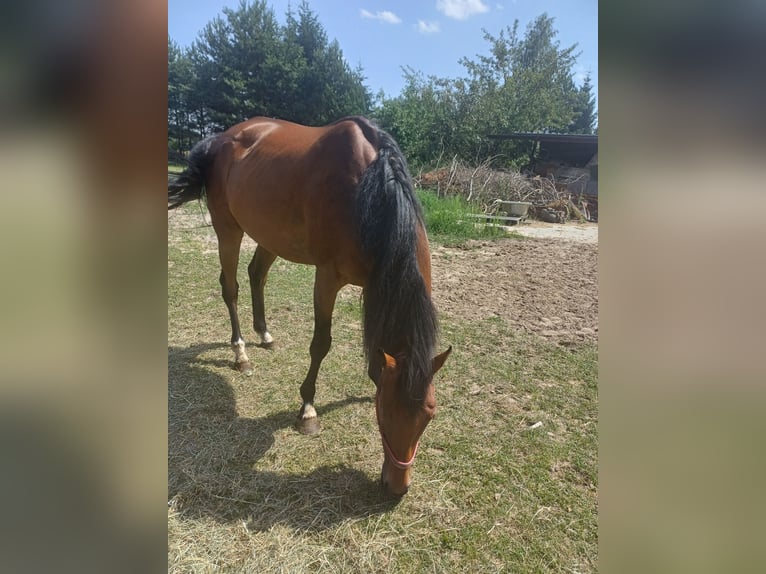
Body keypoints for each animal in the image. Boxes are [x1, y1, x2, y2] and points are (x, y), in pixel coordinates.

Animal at [168, 116, 450, 496]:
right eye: (385, 414)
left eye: (430, 414)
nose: (397, 487)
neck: (368, 192)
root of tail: (221, 139)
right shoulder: (327, 277)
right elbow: (321, 344)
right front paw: (307, 411)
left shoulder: (374, 284)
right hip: (228, 229)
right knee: (231, 288)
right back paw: (241, 353)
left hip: (268, 235)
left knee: (257, 274)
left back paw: (265, 335)